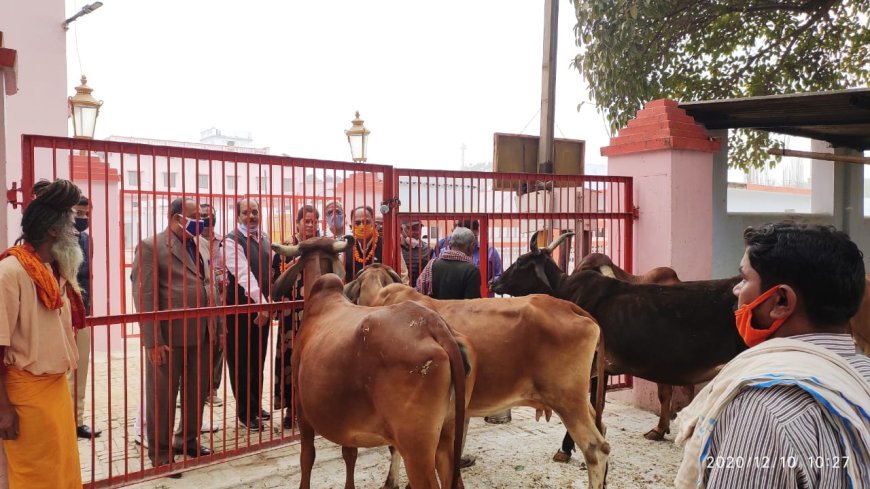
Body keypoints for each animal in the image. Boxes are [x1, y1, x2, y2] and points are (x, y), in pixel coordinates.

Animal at [272, 238, 476, 486]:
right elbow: (350, 454)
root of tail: (435, 326)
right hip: (447, 438)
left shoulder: (302, 410)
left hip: (416, 448)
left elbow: (307, 457)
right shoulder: (346, 420)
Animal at [350, 264, 612, 488]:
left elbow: (396, 449)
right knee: (602, 427)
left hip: (567, 401)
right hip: (578, 399)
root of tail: (571, 307)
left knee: (596, 449)